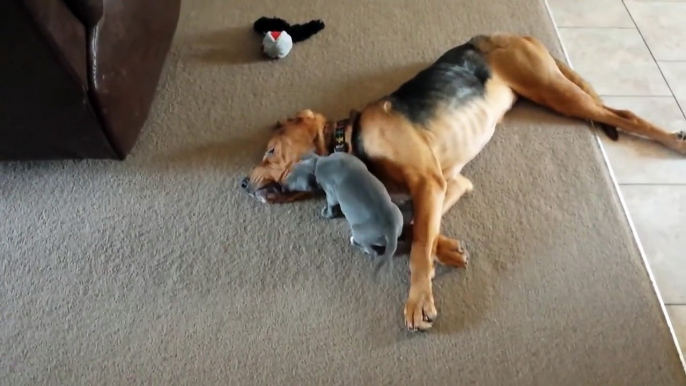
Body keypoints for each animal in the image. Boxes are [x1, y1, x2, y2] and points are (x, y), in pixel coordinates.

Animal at [243, 34, 686, 332]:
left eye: (270, 152)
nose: (243, 185)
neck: (349, 139)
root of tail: (504, 34)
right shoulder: (450, 183)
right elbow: (415, 225)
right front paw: (450, 250)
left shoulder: (429, 182)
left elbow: (418, 245)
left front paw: (418, 300)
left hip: (553, 91)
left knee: (626, 115)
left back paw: (675, 141)